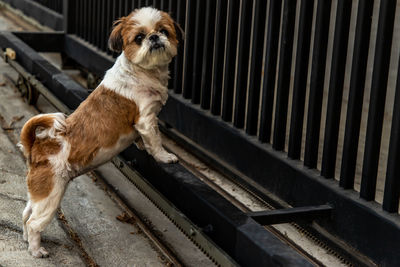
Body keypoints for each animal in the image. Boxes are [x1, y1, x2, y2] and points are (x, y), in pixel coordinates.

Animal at [19, 7, 180, 258]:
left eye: (163, 31)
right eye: (139, 37)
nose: (155, 37)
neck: (141, 71)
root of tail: (38, 146)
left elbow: (144, 139)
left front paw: (141, 145)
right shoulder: (146, 118)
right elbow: (154, 139)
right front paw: (164, 156)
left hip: (38, 193)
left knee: (26, 215)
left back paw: (27, 240)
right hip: (51, 195)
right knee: (34, 223)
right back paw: (36, 250)